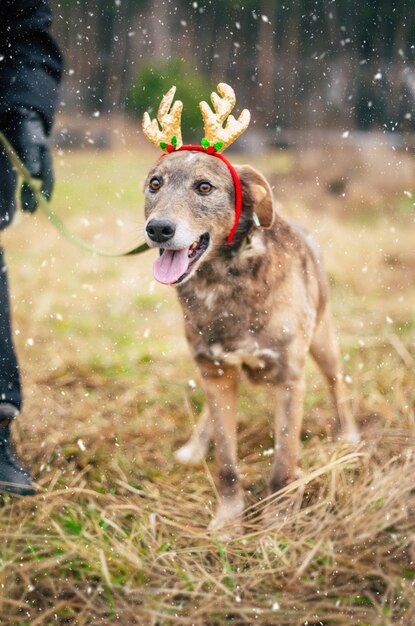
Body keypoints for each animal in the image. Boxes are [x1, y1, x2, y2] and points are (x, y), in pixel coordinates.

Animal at [141, 84, 360, 532]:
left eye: (204, 188)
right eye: (155, 184)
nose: (158, 229)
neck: (224, 279)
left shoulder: (290, 377)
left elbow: (284, 463)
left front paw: (277, 519)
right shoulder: (216, 371)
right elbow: (227, 463)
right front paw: (229, 521)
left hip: (323, 340)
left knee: (337, 383)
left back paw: (348, 434)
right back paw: (197, 444)